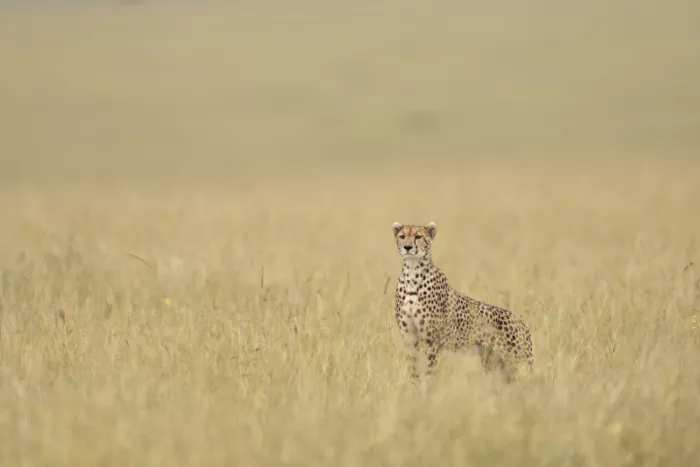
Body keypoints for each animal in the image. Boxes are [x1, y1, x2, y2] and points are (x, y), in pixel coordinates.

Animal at [392, 222, 533, 382]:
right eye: (402, 236)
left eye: (418, 236)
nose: (407, 247)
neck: (412, 273)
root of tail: (521, 322)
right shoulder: (409, 338)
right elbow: (413, 368)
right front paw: (413, 385)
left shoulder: (432, 340)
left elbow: (429, 369)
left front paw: (427, 384)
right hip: (495, 363)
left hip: (517, 362)